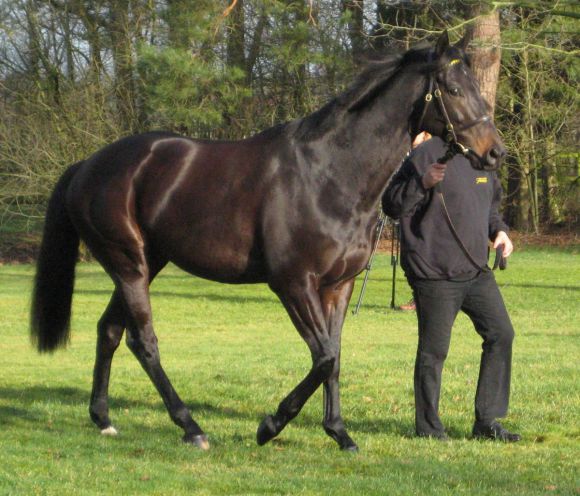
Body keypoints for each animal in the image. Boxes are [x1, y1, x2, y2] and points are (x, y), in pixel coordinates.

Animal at [30, 33, 502, 452]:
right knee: (142, 342)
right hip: (129, 265)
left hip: (145, 263)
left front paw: (340, 433)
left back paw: (104, 419)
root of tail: (88, 165)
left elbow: (334, 355)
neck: (330, 173)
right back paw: (191, 428)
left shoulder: (339, 286)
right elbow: (323, 357)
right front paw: (270, 426)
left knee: (109, 331)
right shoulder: (294, 284)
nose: (495, 152)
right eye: (454, 89)